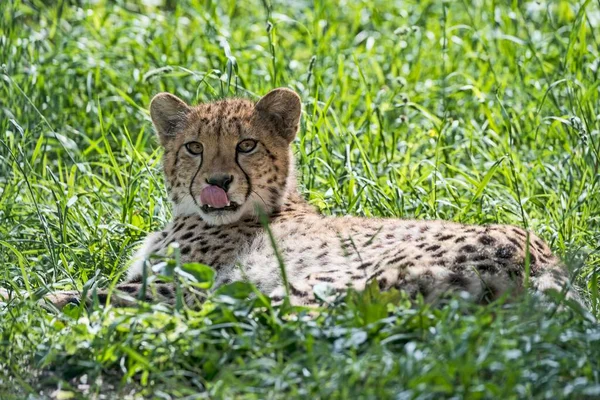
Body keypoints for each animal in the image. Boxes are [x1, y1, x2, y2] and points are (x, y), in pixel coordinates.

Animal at [2, 88, 580, 310]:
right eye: (193, 147)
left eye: (246, 145)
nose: (217, 183)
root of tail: (549, 263)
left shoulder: (178, 283)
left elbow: (90, 290)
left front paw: (33, 300)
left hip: (330, 278)